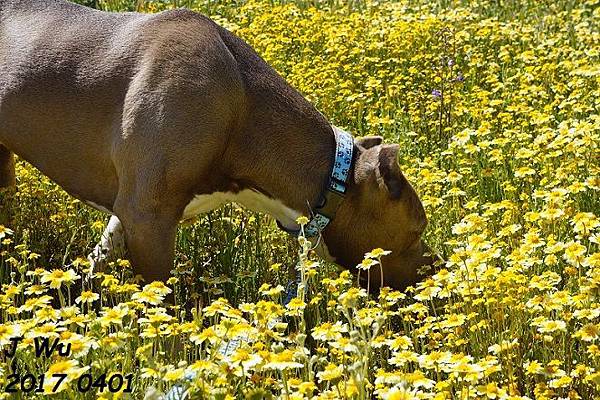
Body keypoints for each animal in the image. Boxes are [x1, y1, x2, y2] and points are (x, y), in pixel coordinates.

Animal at [0, 2, 436, 290]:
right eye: (418, 229)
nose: (436, 269)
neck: (241, 105)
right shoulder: (149, 219)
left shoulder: (129, 216)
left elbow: (98, 262)